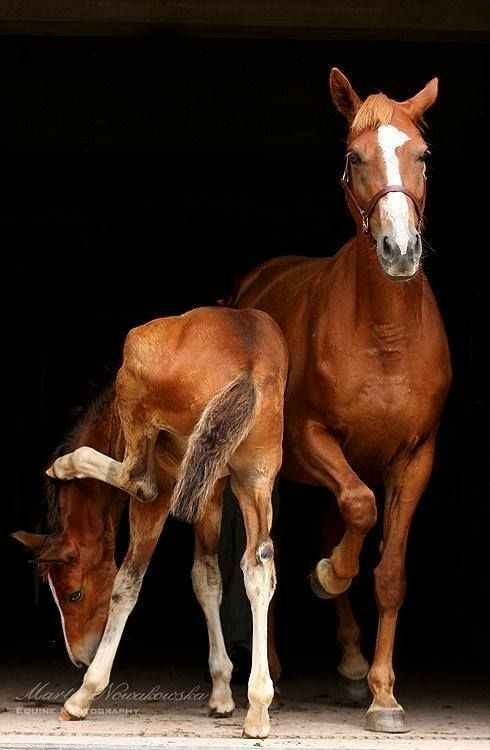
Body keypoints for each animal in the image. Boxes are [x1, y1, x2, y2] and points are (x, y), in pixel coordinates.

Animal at [12, 305, 288, 740]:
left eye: (73, 594)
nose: (80, 657)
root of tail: (248, 363)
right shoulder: (211, 490)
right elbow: (206, 578)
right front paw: (222, 692)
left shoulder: (164, 494)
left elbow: (127, 583)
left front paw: (84, 693)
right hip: (257, 476)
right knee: (259, 566)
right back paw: (258, 709)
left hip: (137, 377)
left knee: (138, 481)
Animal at [228, 67, 453, 733]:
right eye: (355, 157)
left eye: (422, 155)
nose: (400, 250)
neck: (385, 335)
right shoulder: (311, 439)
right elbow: (356, 512)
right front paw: (327, 575)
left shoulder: (415, 457)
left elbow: (390, 573)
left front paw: (384, 695)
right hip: (272, 468)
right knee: (271, 548)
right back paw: (271, 670)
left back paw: (352, 667)